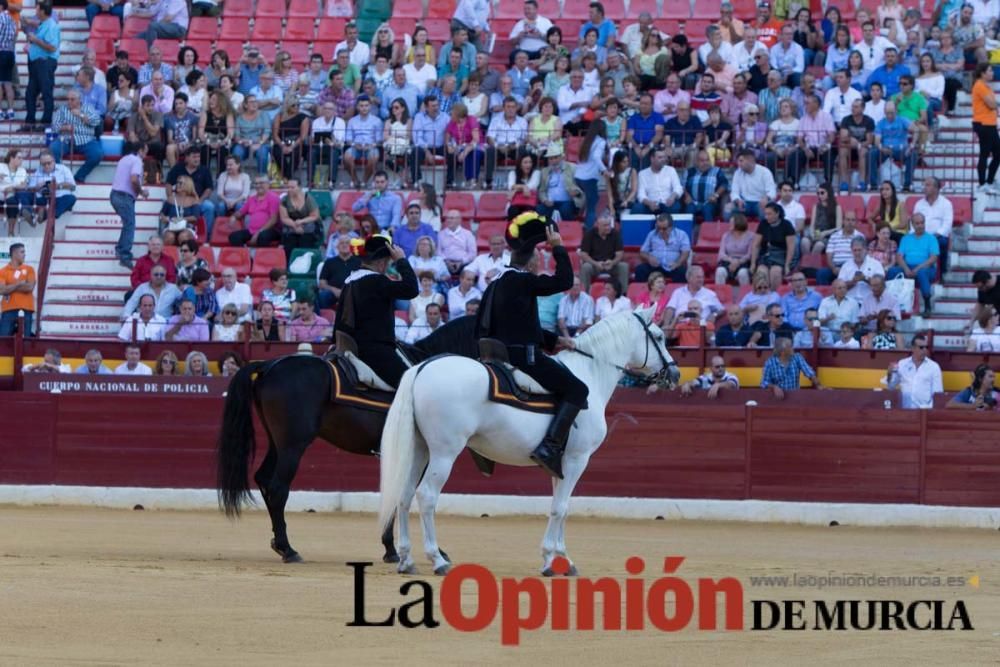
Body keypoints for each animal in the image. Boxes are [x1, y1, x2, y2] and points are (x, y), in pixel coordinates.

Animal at [218, 318, 480, 564]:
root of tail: (268, 365)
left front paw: (391, 549)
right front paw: (420, 551)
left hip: (277, 443)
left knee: (263, 478)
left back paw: (278, 543)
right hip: (293, 445)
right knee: (278, 487)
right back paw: (288, 549)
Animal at [376, 308, 680, 576]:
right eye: (659, 336)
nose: (675, 374)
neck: (589, 374)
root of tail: (422, 368)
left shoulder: (560, 465)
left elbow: (562, 507)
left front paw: (561, 559)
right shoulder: (577, 459)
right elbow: (560, 508)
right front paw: (550, 562)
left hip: (419, 450)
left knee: (404, 495)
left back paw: (406, 560)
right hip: (444, 453)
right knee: (427, 496)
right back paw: (437, 560)